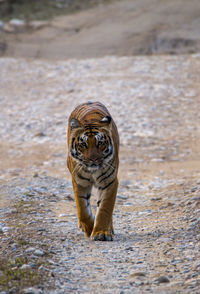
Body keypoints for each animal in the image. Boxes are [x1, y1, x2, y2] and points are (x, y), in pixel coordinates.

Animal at [67, 101, 119, 241]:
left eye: (100, 143)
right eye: (83, 144)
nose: (93, 159)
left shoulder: (110, 182)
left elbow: (105, 208)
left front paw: (102, 232)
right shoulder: (79, 182)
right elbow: (82, 208)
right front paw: (89, 229)